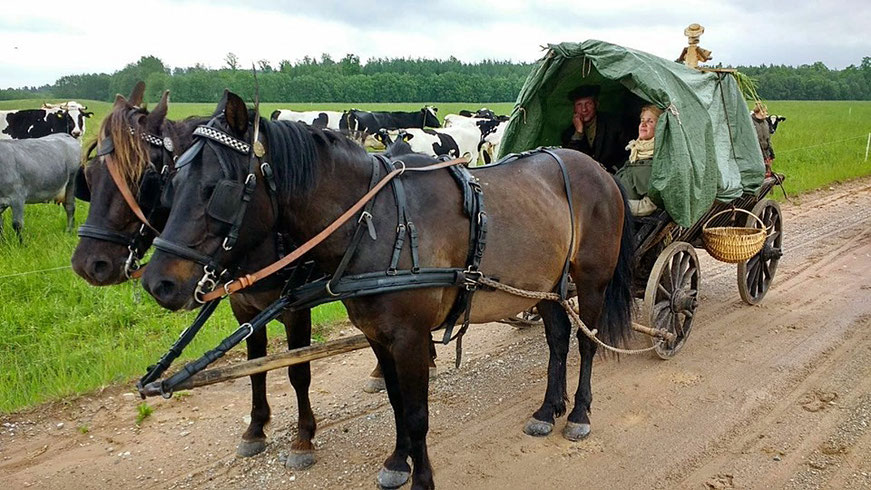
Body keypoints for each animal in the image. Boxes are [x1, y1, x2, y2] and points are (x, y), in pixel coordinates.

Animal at [68, 83, 318, 468]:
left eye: (144, 179)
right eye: (89, 179)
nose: (87, 264)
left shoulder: (295, 309)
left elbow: (298, 369)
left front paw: (303, 436)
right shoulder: (244, 307)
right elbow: (256, 366)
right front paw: (255, 428)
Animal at [141, 92, 632, 490]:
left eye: (216, 190)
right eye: (170, 182)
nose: (157, 283)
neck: (376, 221)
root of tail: (598, 171)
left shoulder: (410, 338)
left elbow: (416, 414)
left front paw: (423, 479)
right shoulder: (378, 335)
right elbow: (396, 401)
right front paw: (398, 462)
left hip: (591, 281)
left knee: (586, 344)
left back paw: (579, 413)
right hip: (545, 285)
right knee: (557, 340)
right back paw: (548, 409)